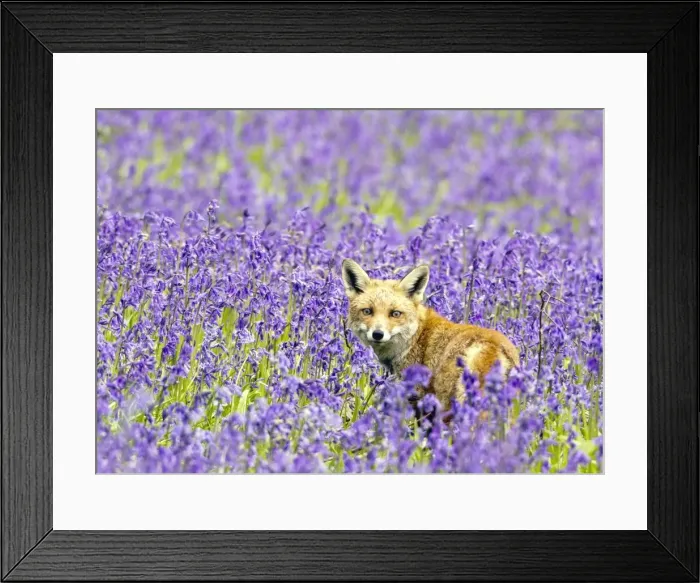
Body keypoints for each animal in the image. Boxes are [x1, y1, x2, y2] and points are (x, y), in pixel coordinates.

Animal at [341, 259, 520, 411]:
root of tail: (492, 344)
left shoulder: (418, 396)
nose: (378, 334)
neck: (416, 337)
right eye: (367, 311)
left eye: (395, 313)